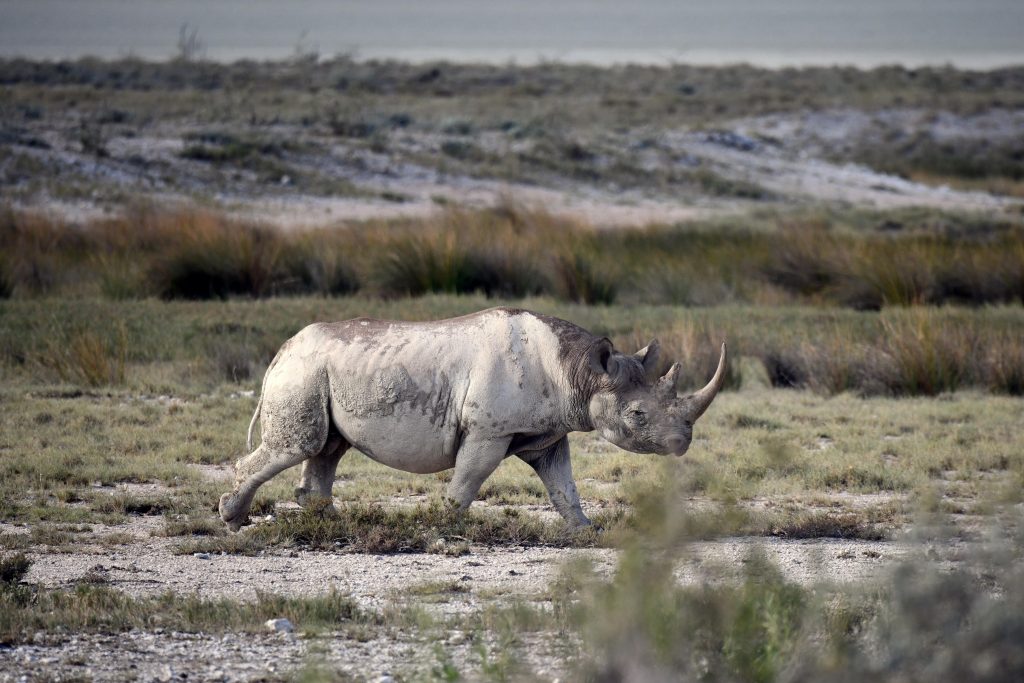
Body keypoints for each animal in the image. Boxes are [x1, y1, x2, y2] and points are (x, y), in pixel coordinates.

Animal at [219, 307, 727, 530]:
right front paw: (445, 526)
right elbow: (468, 480)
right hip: (303, 372)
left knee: (328, 448)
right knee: (300, 445)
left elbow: (564, 486)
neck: (580, 373)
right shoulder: (488, 430)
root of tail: (281, 350)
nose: (682, 443)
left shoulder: (547, 433)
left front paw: (585, 531)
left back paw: (326, 522)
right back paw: (233, 520)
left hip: (325, 370)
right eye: (638, 416)